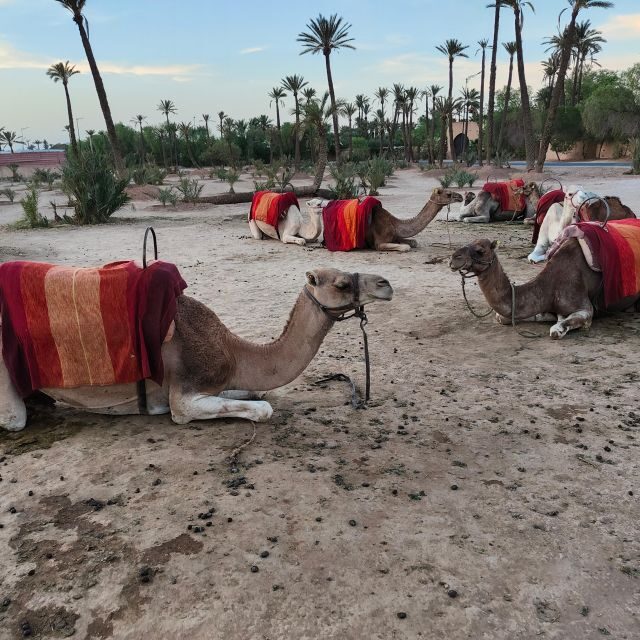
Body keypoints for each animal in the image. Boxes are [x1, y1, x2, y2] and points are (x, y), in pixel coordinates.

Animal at [0, 268, 393, 431]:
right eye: (341, 284)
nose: (386, 284)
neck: (233, 351)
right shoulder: (185, 393)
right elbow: (263, 408)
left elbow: (256, 391)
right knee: (13, 418)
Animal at [308, 187, 463, 252]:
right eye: (448, 194)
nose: (461, 196)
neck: (395, 223)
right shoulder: (380, 243)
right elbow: (405, 247)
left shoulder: (395, 236)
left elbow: (414, 242)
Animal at [449, 238, 640, 339]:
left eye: (480, 250)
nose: (453, 258)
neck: (550, 285)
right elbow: (502, 317)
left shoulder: (585, 308)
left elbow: (557, 330)